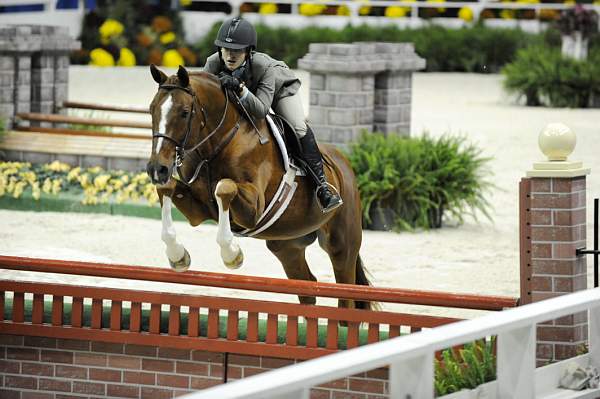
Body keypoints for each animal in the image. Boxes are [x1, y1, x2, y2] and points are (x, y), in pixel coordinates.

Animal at [145, 65, 370, 310]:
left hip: (341, 244)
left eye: (185, 112)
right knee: (308, 286)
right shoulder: (198, 210)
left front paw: (231, 254)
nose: (157, 169)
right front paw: (177, 256)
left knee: (346, 289)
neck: (220, 143)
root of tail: (343, 163)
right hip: (287, 246)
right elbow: (166, 189)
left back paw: (328, 197)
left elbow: (224, 187)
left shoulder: (254, 209)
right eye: (151, 110)